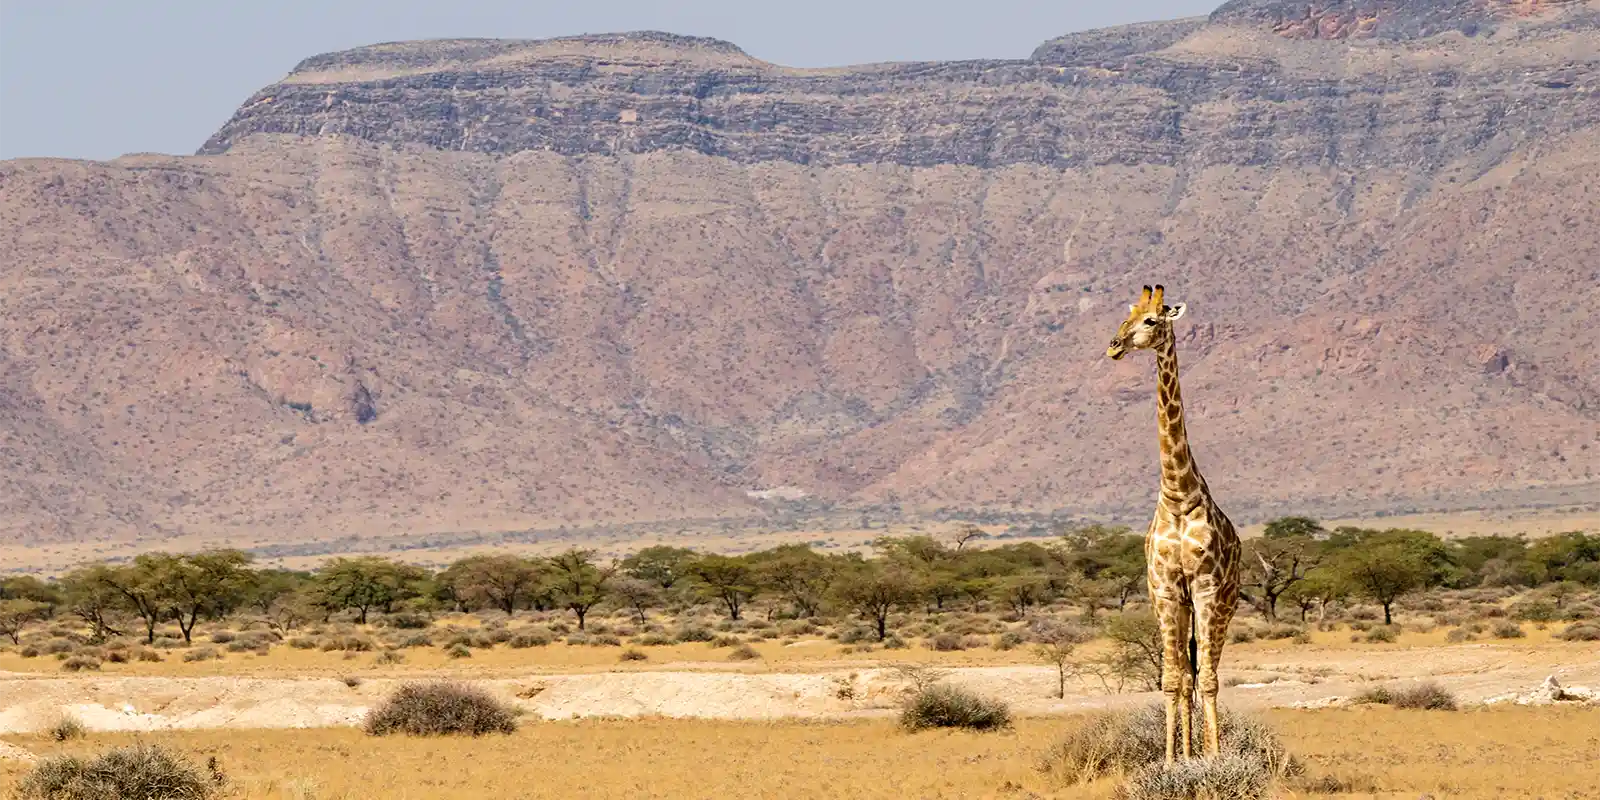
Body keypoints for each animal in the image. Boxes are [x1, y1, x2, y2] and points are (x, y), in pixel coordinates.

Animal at [1105, 284, 1242, 762]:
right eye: (1125, 318)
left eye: (1151, 321)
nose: (1114, 345)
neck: (1179, 496)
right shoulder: (1165, 590)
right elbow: (1171, 681)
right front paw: (1170, 760)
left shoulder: (1205, 587)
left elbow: (1210, 680)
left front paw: (1214, 758)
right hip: (1180, 605)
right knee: (1186, 677)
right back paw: (1186, 750)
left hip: (1224, 603)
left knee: (1206, 673)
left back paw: (1204, 749)